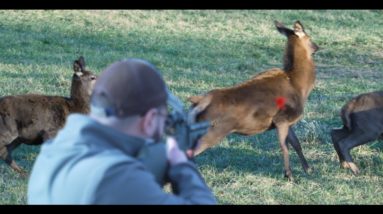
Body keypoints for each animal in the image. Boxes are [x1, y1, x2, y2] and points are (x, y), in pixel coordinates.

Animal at [188, 20, 320, 181]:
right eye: (309, 37)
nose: (317, 47)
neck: (299, 85)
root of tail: (200, 100)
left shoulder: (287, 121)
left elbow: (297, 144)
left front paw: (309, 169)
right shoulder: (282, 118)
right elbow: (285, 147)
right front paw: (289, 175)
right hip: (213, 131)